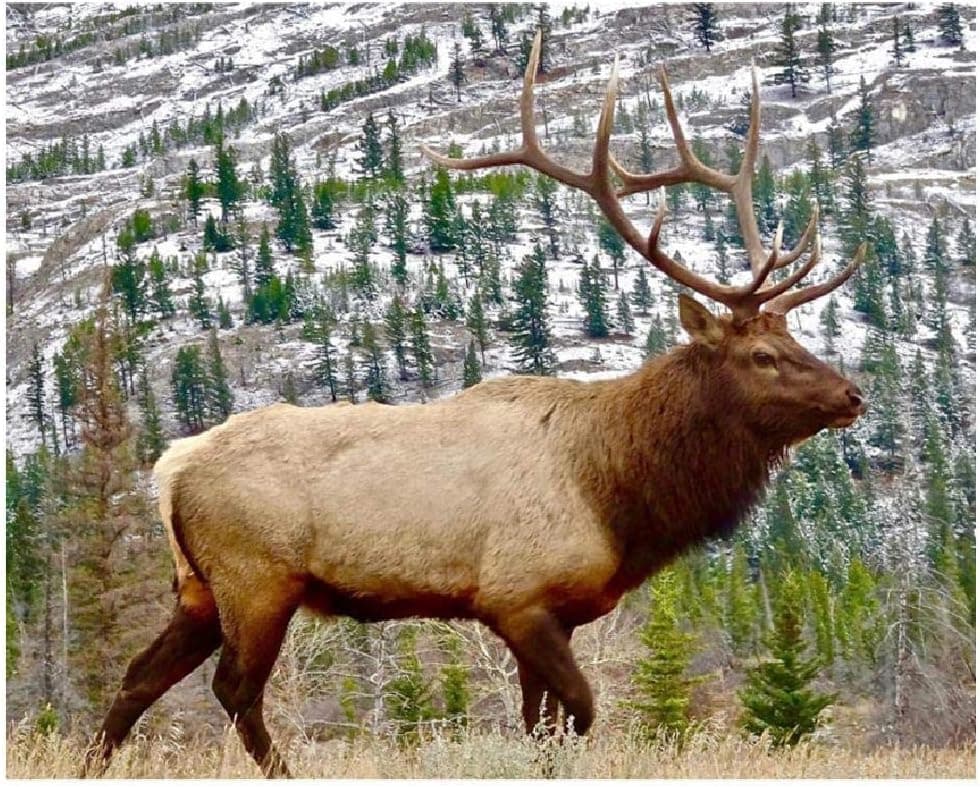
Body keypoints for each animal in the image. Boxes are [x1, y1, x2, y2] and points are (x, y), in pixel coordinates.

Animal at [86, 33, 866, 778]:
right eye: (761, 355)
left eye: (794, 336)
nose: (852, 393)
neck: (616, 492)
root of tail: (171, 467)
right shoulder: (515, 596)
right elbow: (579, 713)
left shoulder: (561, 611)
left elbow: (542, 725)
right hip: (257, 577)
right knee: (234, 691)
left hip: (199, 589)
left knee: (137, 677)